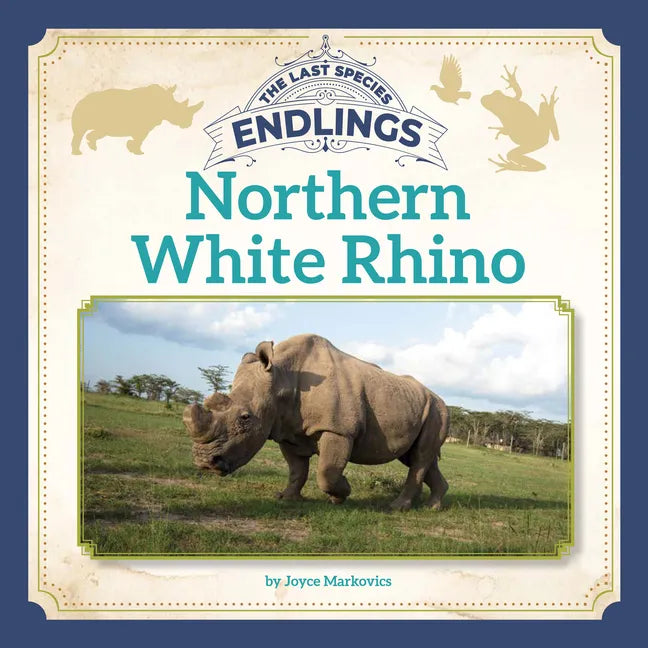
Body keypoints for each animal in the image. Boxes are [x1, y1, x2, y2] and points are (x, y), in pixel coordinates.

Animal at [71, 84, 203, 155]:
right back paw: (78, 153)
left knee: (97, 132)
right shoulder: (142, 127)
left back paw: (92, 147)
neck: (165, 104)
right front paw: (138, 152)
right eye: (178, 111)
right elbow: (140, 139)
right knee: (80, 132)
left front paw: (131, 148)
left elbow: (139, 139)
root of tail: (80, 101)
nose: (188, 124)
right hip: (84, 110)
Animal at [183, 334, 449, 511]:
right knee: (416, 457)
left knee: (419, 458)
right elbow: (297, 470)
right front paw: (287, 498)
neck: (282, 378)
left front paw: (341, 495)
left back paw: (398, 507)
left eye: (245, 418)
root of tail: (441, 399)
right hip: (421, 408)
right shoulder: (288, 430)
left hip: (437, 411)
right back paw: (432, 507)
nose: (204, 463)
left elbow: (326, 472)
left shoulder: (339, 429)